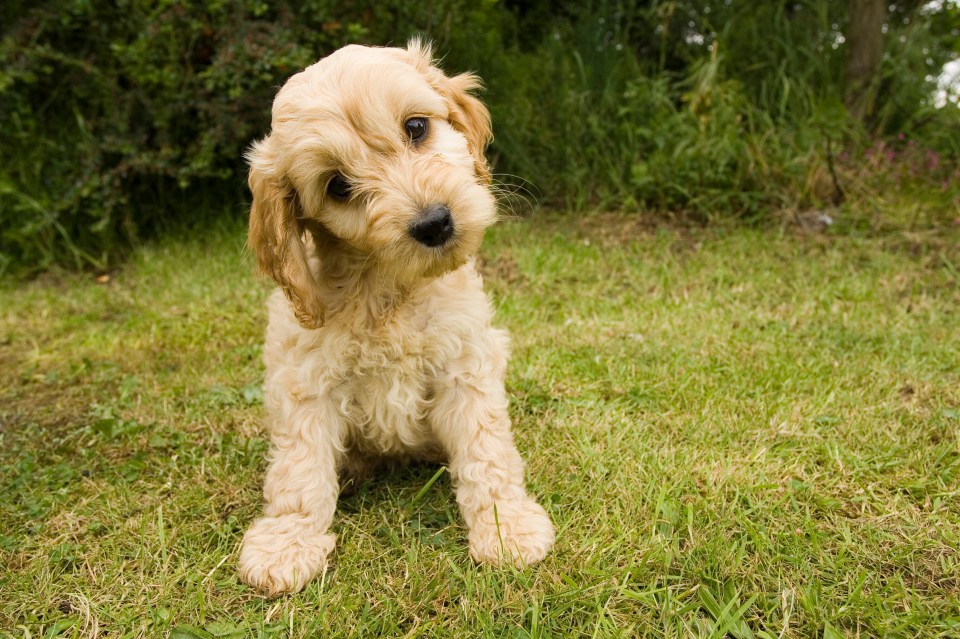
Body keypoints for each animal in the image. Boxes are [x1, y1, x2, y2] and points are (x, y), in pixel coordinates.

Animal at [238, 42, 556, 596]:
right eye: (338, 186)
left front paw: (507, 528)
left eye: (416, 127)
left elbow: (486, 449)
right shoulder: (305, 380)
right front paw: (286, 543)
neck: (389, 287)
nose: (434, 223)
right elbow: (300, 466)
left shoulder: (465, 363)